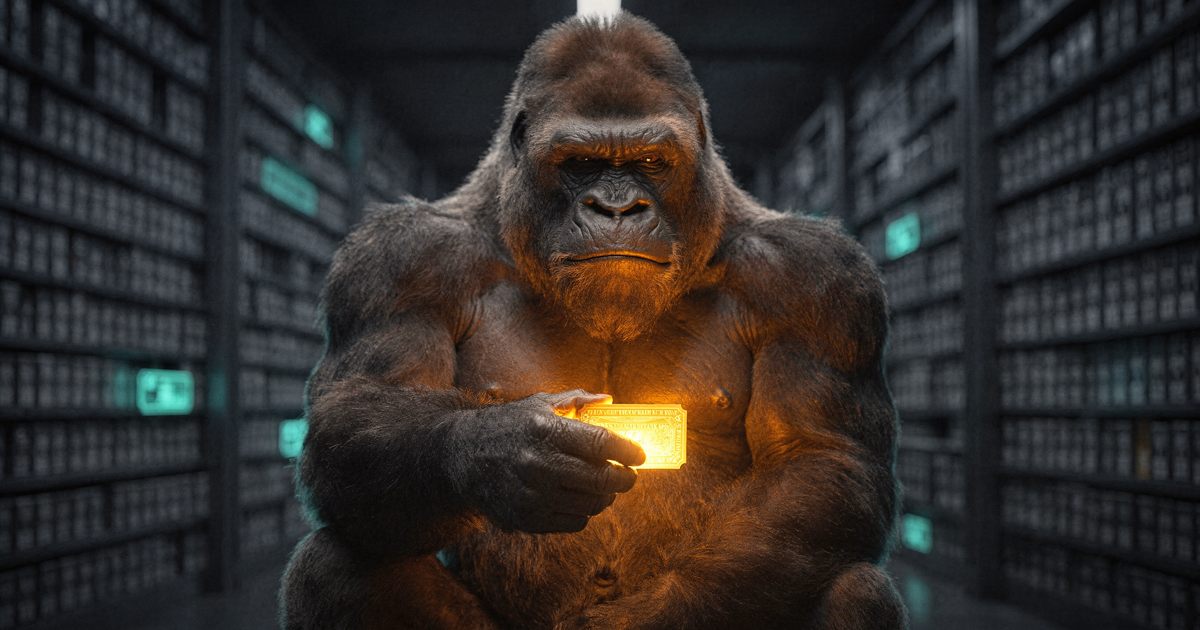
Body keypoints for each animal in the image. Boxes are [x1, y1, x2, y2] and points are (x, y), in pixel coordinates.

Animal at [279, 12, 906, 630]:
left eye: (651, 161)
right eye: (580, 164)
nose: (617, 207)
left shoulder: (817, 281)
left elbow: (817, 459)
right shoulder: (400, 262)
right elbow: (357, 417)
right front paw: (502, 450)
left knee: (857, 588)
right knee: (335, 567)